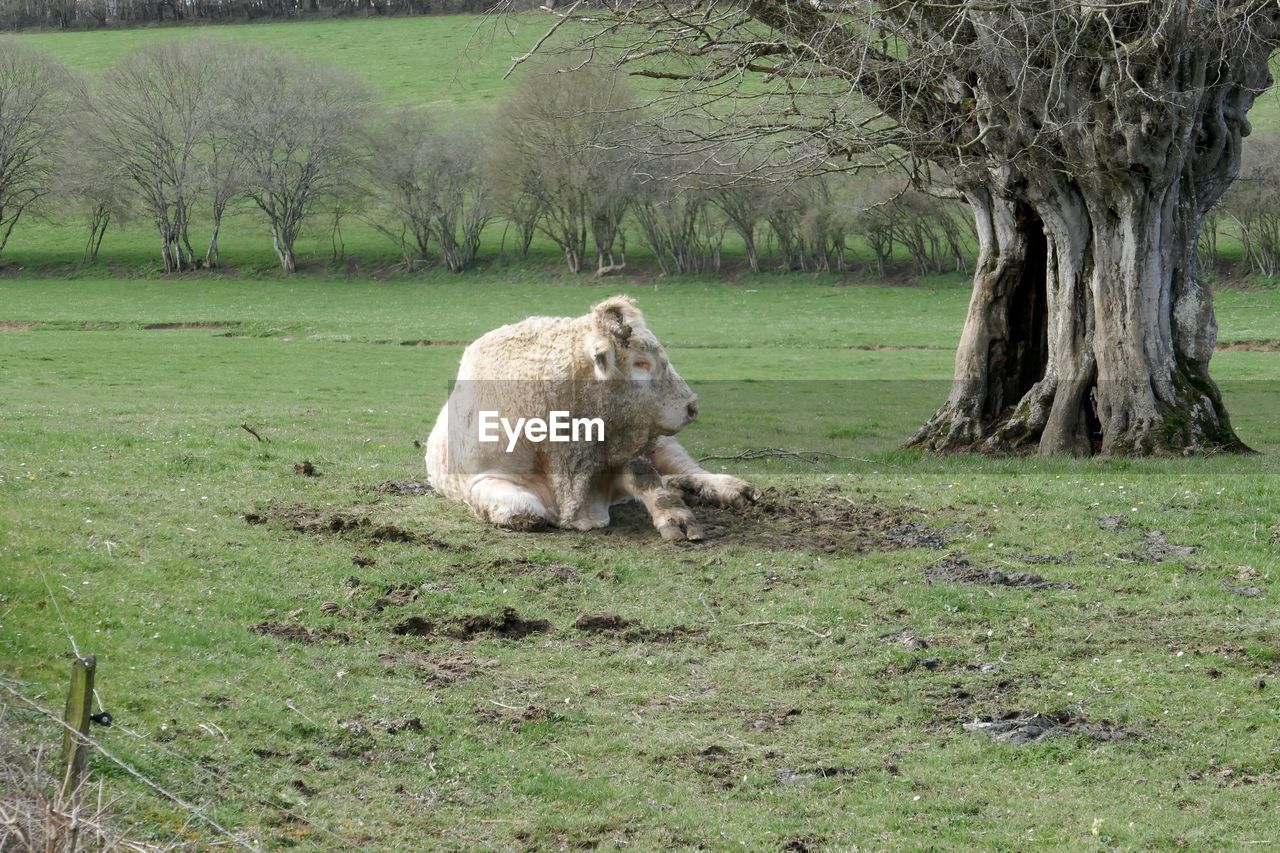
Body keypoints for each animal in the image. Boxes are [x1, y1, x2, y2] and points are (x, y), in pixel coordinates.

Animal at [424, 295, 752, 537]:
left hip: (663, 444)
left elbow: (644, 476)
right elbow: (526, 510)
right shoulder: (482, 479)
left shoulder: (617, 458)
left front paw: (675, 515)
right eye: (641, 362)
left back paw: (731, 488)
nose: (692, 405)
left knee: (689, 469)